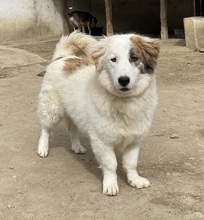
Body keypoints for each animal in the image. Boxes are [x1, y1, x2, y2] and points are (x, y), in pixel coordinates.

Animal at [37, 31, 160, 196]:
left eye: (134, 58)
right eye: (113, 59)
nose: (123, 80)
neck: (124, 102)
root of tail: (63, 57)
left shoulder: (135, 139)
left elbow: (131, 163)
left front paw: (135, 180)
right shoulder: (102, 140)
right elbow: (111, 164)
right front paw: (110, 184)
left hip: (74, 112)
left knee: (72, 128)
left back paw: (77, 146)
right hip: (52, 109)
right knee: (45, 129)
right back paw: (43, 148)